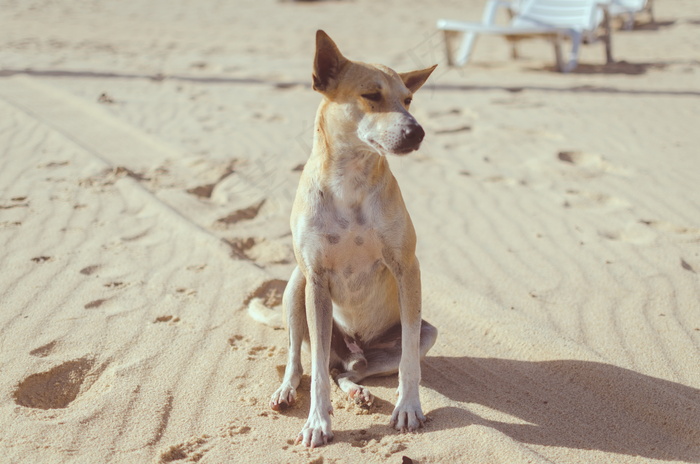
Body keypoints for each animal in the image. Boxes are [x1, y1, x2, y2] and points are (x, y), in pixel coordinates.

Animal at [270, 29, 438, 450]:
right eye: (371, 94)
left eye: (408, 99)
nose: (417, 131)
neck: (351, 181)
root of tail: (352, 351)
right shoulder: (315, 279)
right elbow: (313, 369)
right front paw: (317, 421)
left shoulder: (407, 268)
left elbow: (409, 359)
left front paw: (409, 407)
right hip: (295, 287)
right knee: (301, 360)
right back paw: (287, 390)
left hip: (420, 336)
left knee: (346, 371)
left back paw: (358, 390)